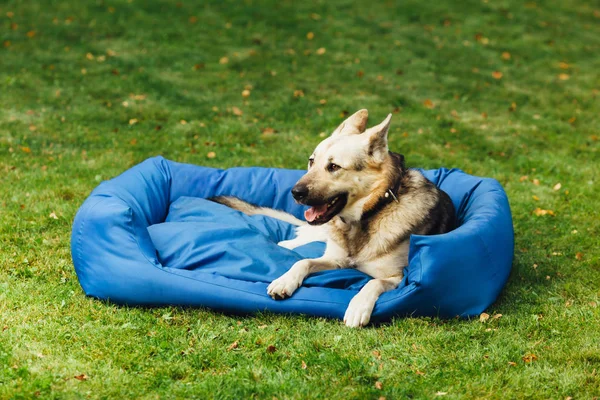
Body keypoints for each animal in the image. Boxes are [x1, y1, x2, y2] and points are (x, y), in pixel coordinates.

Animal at [211, 108, 454, 324]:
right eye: (311, 161)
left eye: (334, 166)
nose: (295, 193)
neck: (367, 214)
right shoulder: (335, 260)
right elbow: (303, 261)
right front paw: (285, 281)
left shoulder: (396, 278)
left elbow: (372, 283)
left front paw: (358, 306)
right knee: (298, 239)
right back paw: (286, 244)